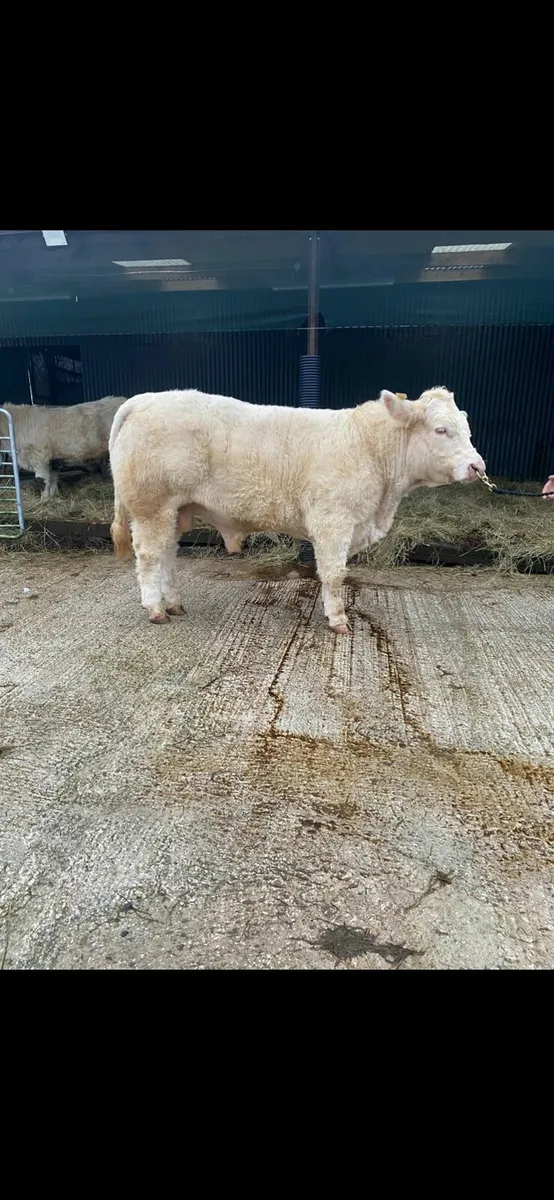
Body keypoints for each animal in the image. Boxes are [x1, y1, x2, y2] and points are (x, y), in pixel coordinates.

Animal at [109, 386, 486, 634]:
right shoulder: (333, 522)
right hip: (152, 507)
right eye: (441, 430)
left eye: (468, 430)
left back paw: (173, 603)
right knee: (149, 557)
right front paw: (338, 620)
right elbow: (334, 574)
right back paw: (155, 609)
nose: (477, 467)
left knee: (168, 556)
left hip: (175, 510)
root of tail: (147, 398)